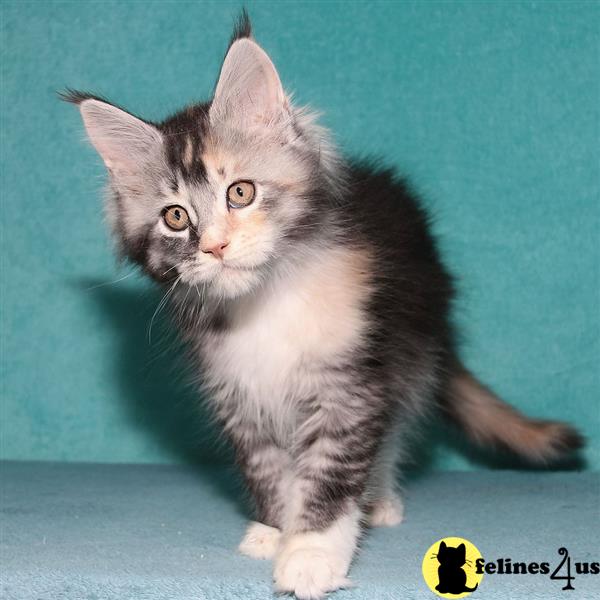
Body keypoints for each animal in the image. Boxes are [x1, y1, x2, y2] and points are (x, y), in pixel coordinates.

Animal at [64, 12, 580, 600]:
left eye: (240, 192)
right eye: (176, 218)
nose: (215, 247)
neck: (265, 299)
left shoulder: (349, 381)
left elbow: (333, 468)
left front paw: (312, 552)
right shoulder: (238, 392)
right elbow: (268, 469)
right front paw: (277, 528)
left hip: (412, 347)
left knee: (394, 426)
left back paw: (381, 498)